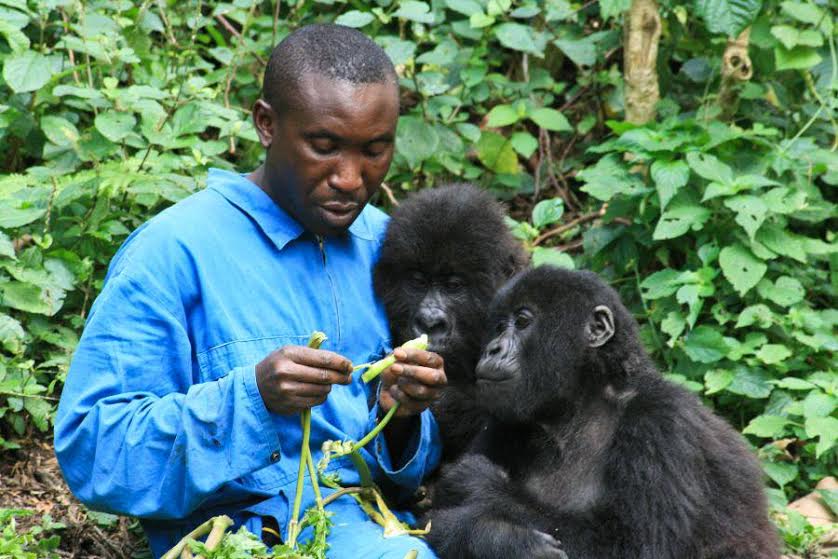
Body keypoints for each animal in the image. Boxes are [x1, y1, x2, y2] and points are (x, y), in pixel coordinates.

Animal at [430, 266, 784, 559]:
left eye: (523, 322)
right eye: (499, 326)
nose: (492, 349)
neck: (583, 403)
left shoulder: (662, 422)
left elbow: (638, 548)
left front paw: (486, 494)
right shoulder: (502, 422)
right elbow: (433, 526)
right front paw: (502, 541)